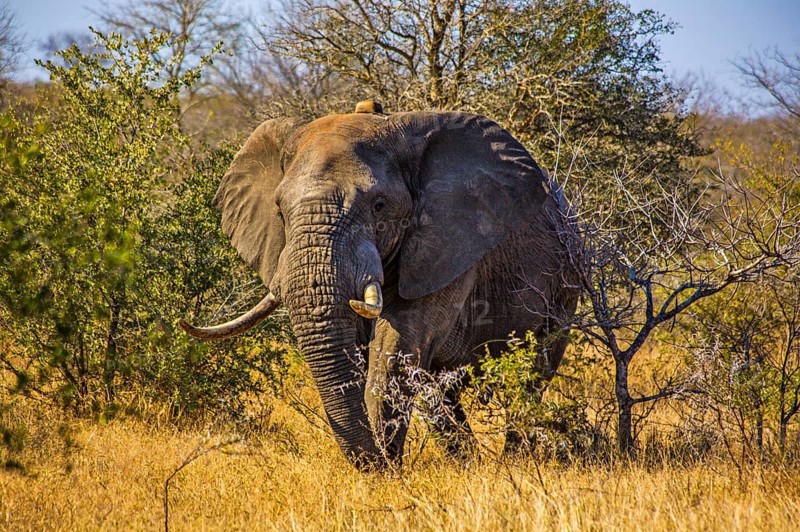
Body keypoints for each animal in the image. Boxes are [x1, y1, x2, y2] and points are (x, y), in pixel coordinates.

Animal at [181, 101, 579, 469]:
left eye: (379, 205)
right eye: (279, 210)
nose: (375, 465)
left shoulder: (450, 244)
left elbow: (394, 345)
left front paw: (384, 471)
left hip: (567, 282)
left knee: (534, 375)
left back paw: (514, 462)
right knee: (438, 390)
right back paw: (465, 462)